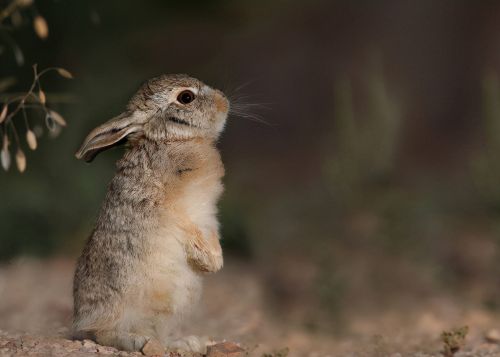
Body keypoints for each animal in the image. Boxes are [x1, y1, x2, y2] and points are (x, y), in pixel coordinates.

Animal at [72, 73, 229, 354]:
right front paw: (210, 261)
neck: (171, 140)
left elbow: (210, 232)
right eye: (186, 97)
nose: (224, 102)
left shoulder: (208, 216)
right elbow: (185, 226)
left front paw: (214, 261)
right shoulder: (169, 208)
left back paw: (186, 343)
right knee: (103, 333)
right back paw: (137, 341)